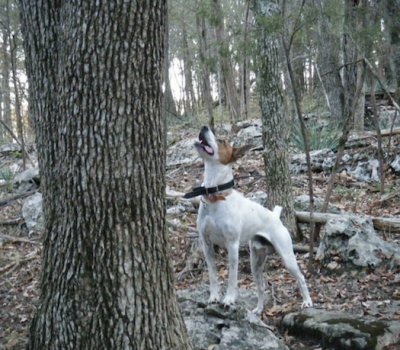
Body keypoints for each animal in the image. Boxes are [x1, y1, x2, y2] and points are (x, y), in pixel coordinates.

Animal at [184, 126, 312, 314]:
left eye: (222, 141)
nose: (204, 127)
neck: (216, 195)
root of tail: (275, 216)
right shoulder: (206, 244)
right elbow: (212, 275)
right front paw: (214, 297)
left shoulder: (232, 245)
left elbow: (232, 277)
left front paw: (229, 299)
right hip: (255, 263)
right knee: (261, 286)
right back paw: (258, 310)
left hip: (287, 256)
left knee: (301, 277)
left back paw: (307, 301)